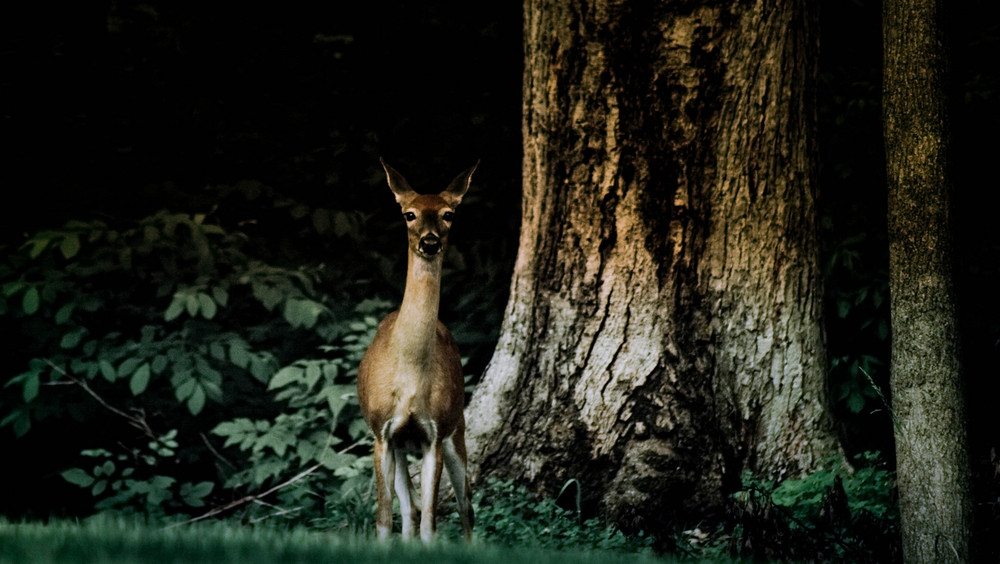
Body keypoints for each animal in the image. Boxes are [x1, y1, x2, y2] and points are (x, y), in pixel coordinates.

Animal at [356, 158, 480, 540]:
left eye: (449, 213)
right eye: (408, 214)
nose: (429, 241)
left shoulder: (434, 435)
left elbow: (430, 524)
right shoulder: (382, 433)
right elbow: (385, 521)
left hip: (457, 430)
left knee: (466, 508)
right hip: (399, 448)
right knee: (408, 509)